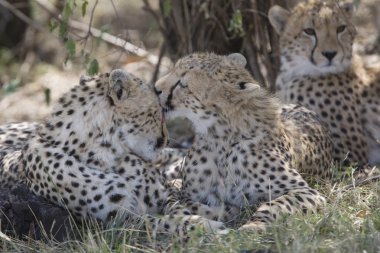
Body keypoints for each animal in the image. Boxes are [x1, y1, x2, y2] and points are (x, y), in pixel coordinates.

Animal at [154, 52, 332, 230]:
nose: (155, 89)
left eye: (182, 83)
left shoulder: (307, 191)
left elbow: (275, 204)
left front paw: (254, 225)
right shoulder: (187, 193)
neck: (220, 138)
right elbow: (183, 201)